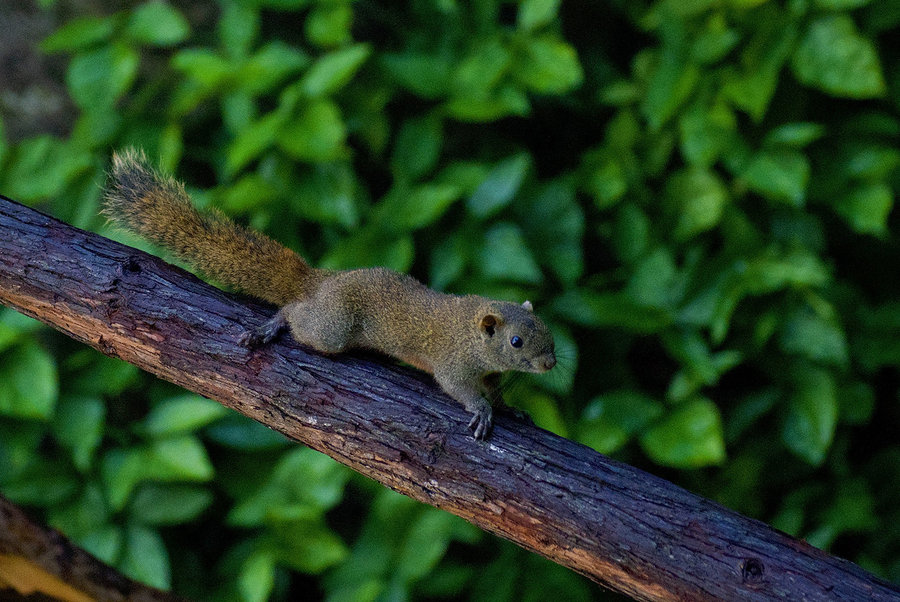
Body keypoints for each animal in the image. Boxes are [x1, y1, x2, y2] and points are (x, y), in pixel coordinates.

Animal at [103, 149, 556, 440]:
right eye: (517, 341)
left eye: (547, 331)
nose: (551, 363)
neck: (473, 332)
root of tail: (320, 282)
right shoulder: (453, 363)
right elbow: (459, 388)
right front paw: (482, 411)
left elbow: (495, 390)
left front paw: (509, 408)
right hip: (332, 328)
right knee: (295, 313)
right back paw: (272, 326)